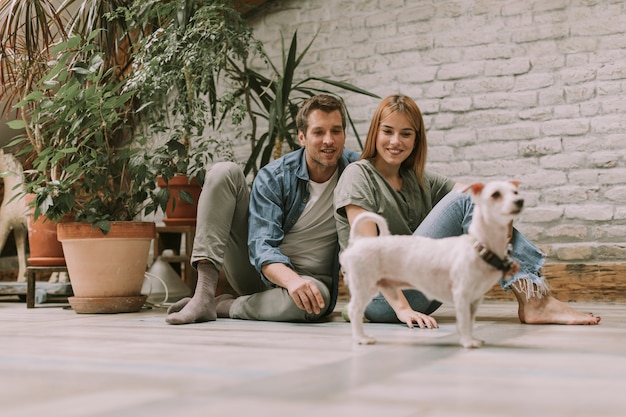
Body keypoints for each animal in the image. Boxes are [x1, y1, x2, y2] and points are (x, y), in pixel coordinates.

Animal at [338, 180, 524, 346]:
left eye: (515, 192)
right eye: (495, 194)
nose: (520, 201)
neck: (480, 245)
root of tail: (358, 241)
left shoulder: (474, 300)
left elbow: (470, 322)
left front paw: (472, 338)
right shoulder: (461, 296)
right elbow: (464, 322)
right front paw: (467, 342)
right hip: (364, 286)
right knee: (354, 311)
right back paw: (361, 338)